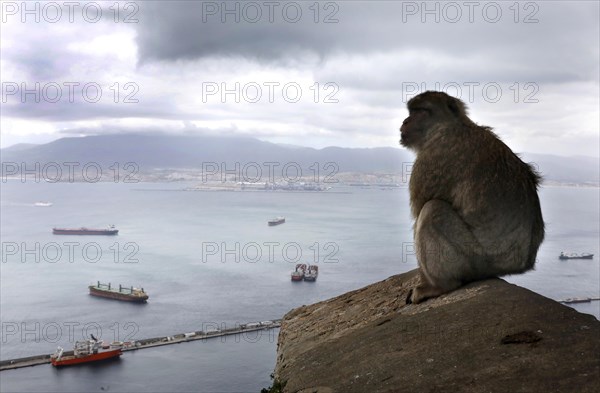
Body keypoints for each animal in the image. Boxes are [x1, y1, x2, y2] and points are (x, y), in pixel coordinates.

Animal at [398, 91, 544, 304]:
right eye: (411, 111)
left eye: (420, 111)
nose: (405, 121)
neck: (452, 125)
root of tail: (520, 263)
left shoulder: (433, 156)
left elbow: (419, 211)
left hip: (476, 259)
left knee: (432, 210)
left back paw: (440, 285)